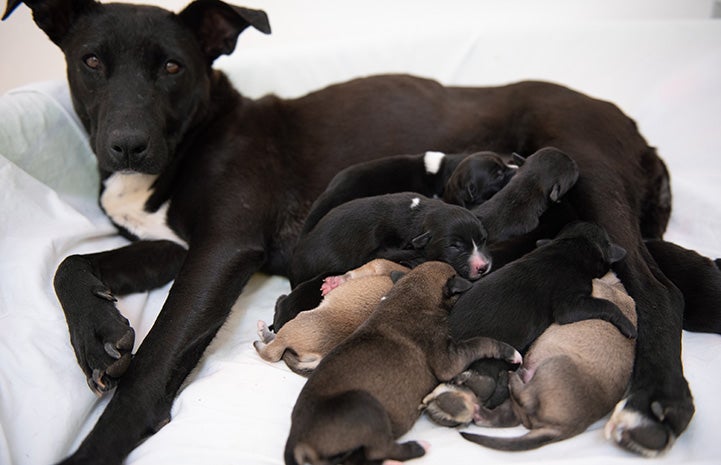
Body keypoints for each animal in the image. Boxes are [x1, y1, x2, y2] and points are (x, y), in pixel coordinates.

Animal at [284, 260, 520, 464]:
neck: (410, 294)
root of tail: (296, 439)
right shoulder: (448, 361)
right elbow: (480, 342)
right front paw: (510, 351)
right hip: (365, 405)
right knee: (379, 448)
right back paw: (418, 447)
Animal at [462, 272, 636, 450]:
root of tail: (563, 429)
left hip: (554, 364)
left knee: (525, 399)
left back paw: (510, 377)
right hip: (520, 402)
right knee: (508, 415)